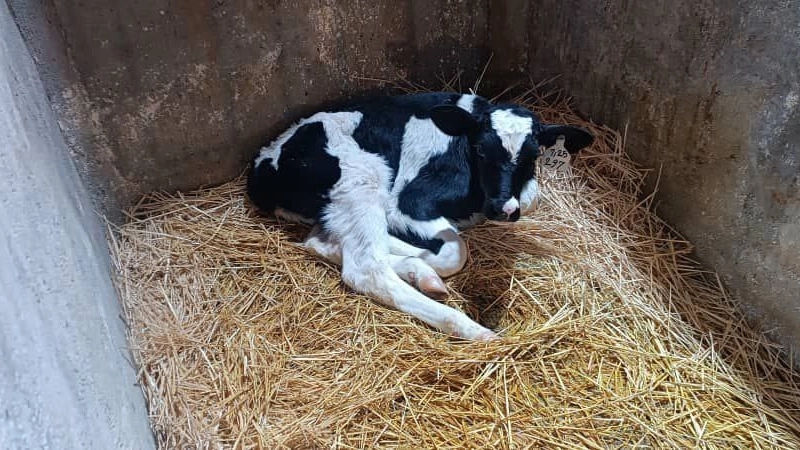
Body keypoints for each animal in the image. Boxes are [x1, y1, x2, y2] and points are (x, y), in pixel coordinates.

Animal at [247, 92, 593, 340]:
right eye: (481, 149)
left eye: (533, 156)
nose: (502, 209)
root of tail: (261, 168)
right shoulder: (406, 202)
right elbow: (455, 251)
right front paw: (430, 259)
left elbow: (532, 196)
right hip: (362, 177)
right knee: (365, 267)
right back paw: (471, 327)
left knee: (323, 242)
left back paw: (417, 270)